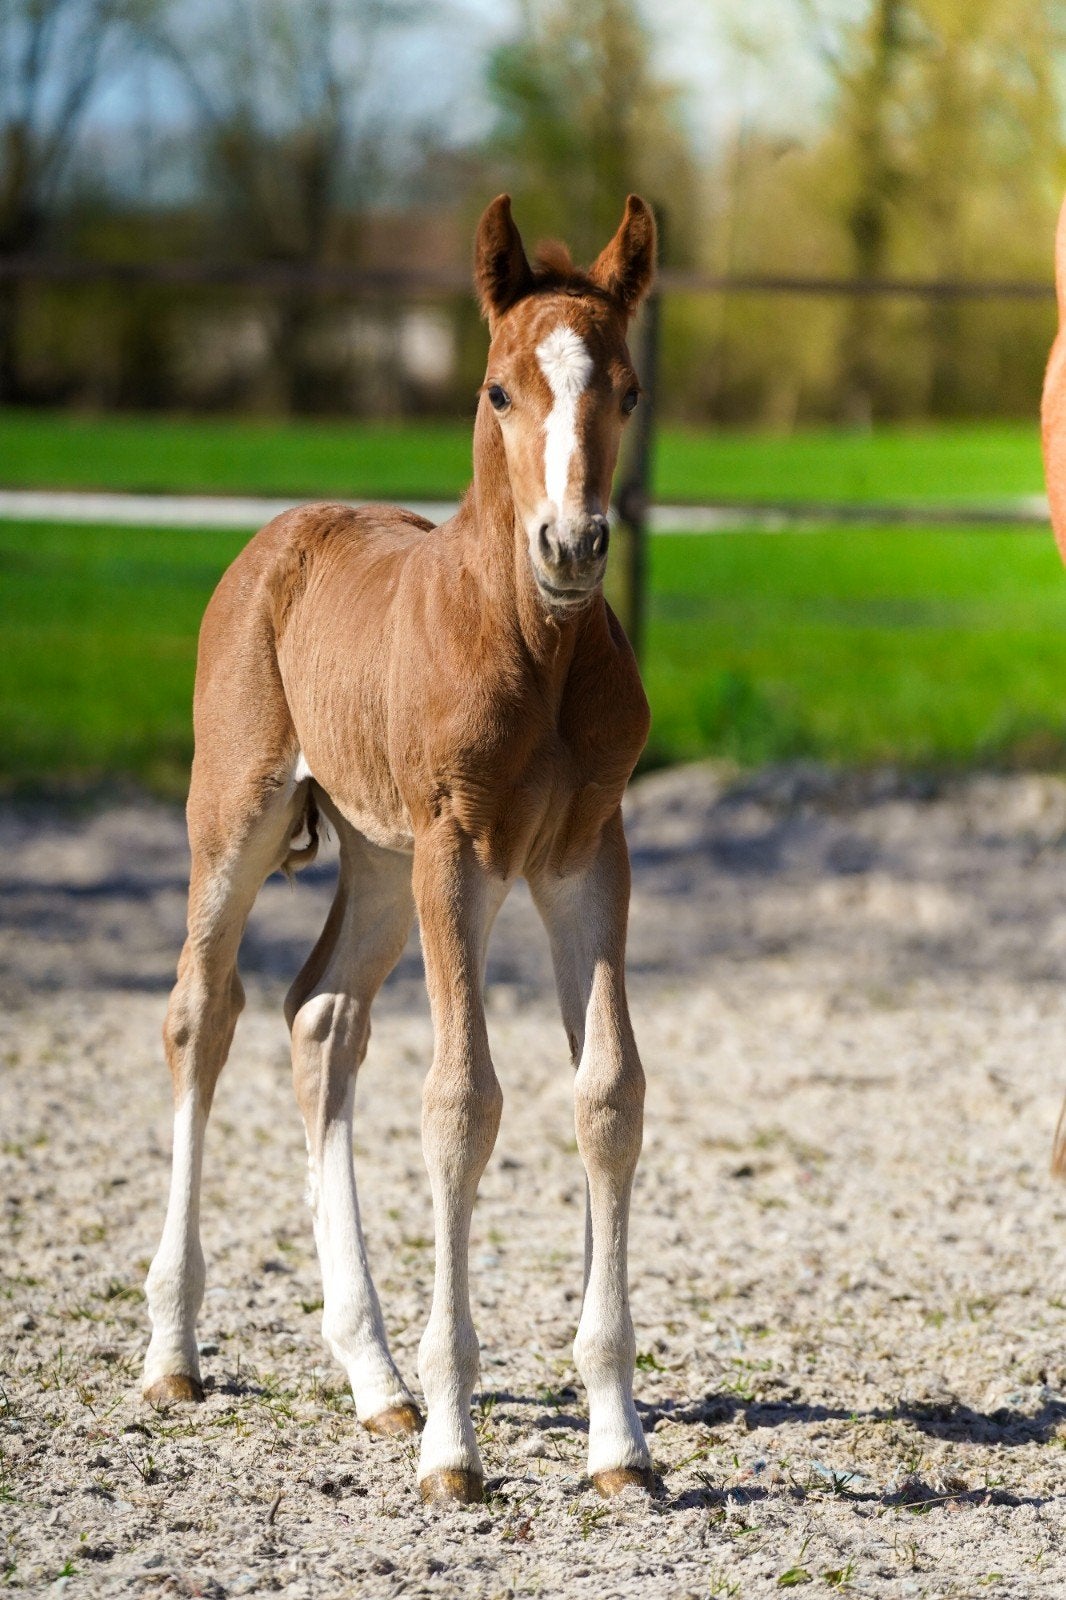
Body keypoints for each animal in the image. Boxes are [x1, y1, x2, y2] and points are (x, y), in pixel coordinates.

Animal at [142, 194, 658, 1505]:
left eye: (626, 389)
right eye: (497, 389)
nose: (571, 544)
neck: (532, 643)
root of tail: (280, 532)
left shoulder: (587, 854)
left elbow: (607, 1093)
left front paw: (620, 1442)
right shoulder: (459, 847)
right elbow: (462, 1101)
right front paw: (455, 1445)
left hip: (379, 859)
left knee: (320, 1016)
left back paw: (373, 1375)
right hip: (242, 813)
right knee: (201, 1015)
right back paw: (174, 1352)